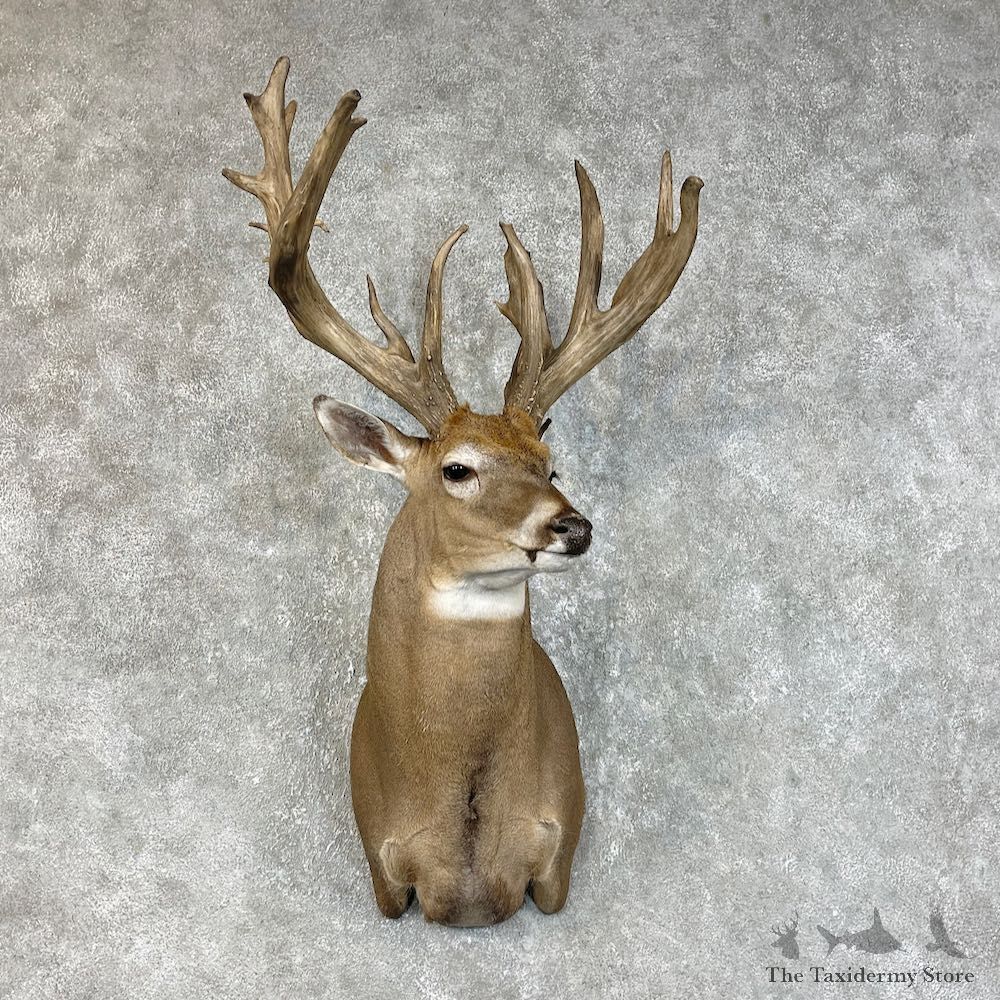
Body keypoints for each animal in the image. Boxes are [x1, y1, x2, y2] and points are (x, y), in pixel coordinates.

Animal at [223, 56, 702, 927]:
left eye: (551, 462)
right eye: (458, 468)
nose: (571, 526)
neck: (470, 839)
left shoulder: (556, 864)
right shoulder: (385, 878)